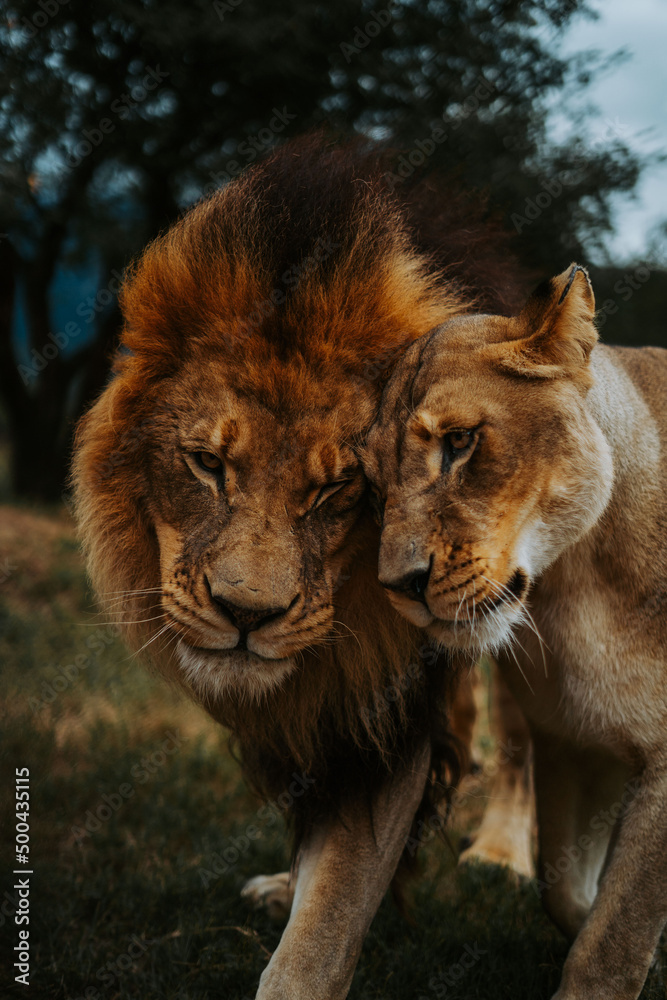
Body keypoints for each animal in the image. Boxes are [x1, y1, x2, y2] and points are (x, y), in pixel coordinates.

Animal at [71, 135, 528, 999]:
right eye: (208, 464)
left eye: (335, 489)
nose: (248, 616)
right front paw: (295, 886)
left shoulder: (387, 706)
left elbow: (327, 924)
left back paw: (502, 858)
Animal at [362, 263, 667, 999]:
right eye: (374, 484)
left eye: (459, 441)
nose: (398, 584)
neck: (574, 590)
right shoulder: (572, 740)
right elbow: (566, 894)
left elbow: (613, 939)